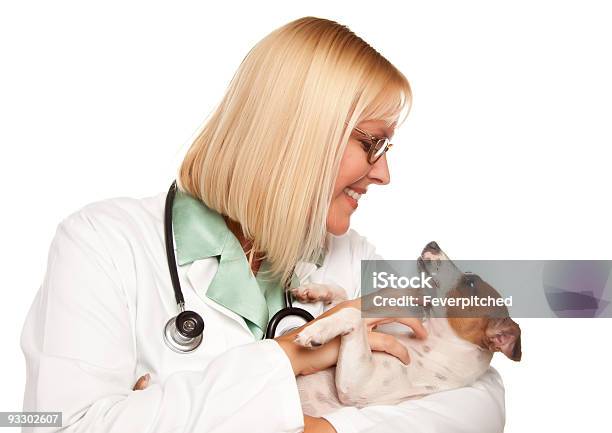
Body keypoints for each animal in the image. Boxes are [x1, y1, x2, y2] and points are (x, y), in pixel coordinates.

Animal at [292, 241, 520, 416]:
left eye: (471, 283)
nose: (433, 243)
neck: (433, 340)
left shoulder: (357, 385)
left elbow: (352, 314)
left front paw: (317, 330)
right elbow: (344, 297)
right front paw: (314, 290)